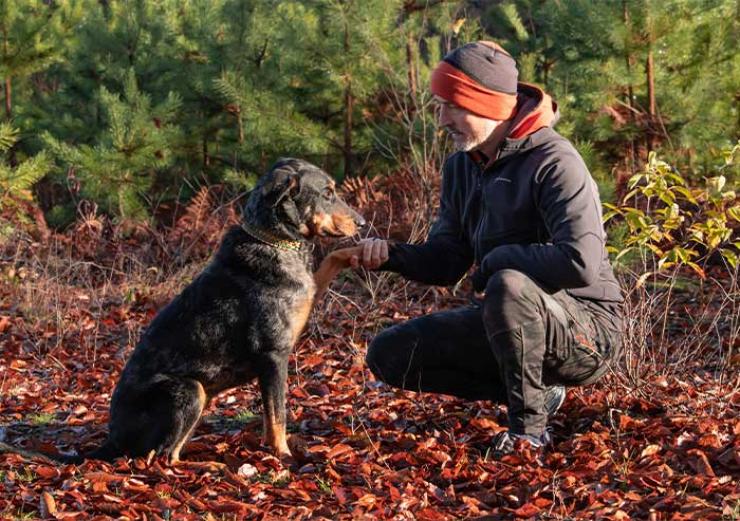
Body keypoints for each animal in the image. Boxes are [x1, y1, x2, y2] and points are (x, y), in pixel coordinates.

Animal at [1, 156, 366, 462]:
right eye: (328, 193)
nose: (362, 223)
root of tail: (112, 440)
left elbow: (334, 258)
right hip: (190, 390)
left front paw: (359, 252)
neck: (273, 239)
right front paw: (285, 457)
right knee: (161, 457)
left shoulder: (307, 296)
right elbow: (277, 417)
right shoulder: (273, 357)